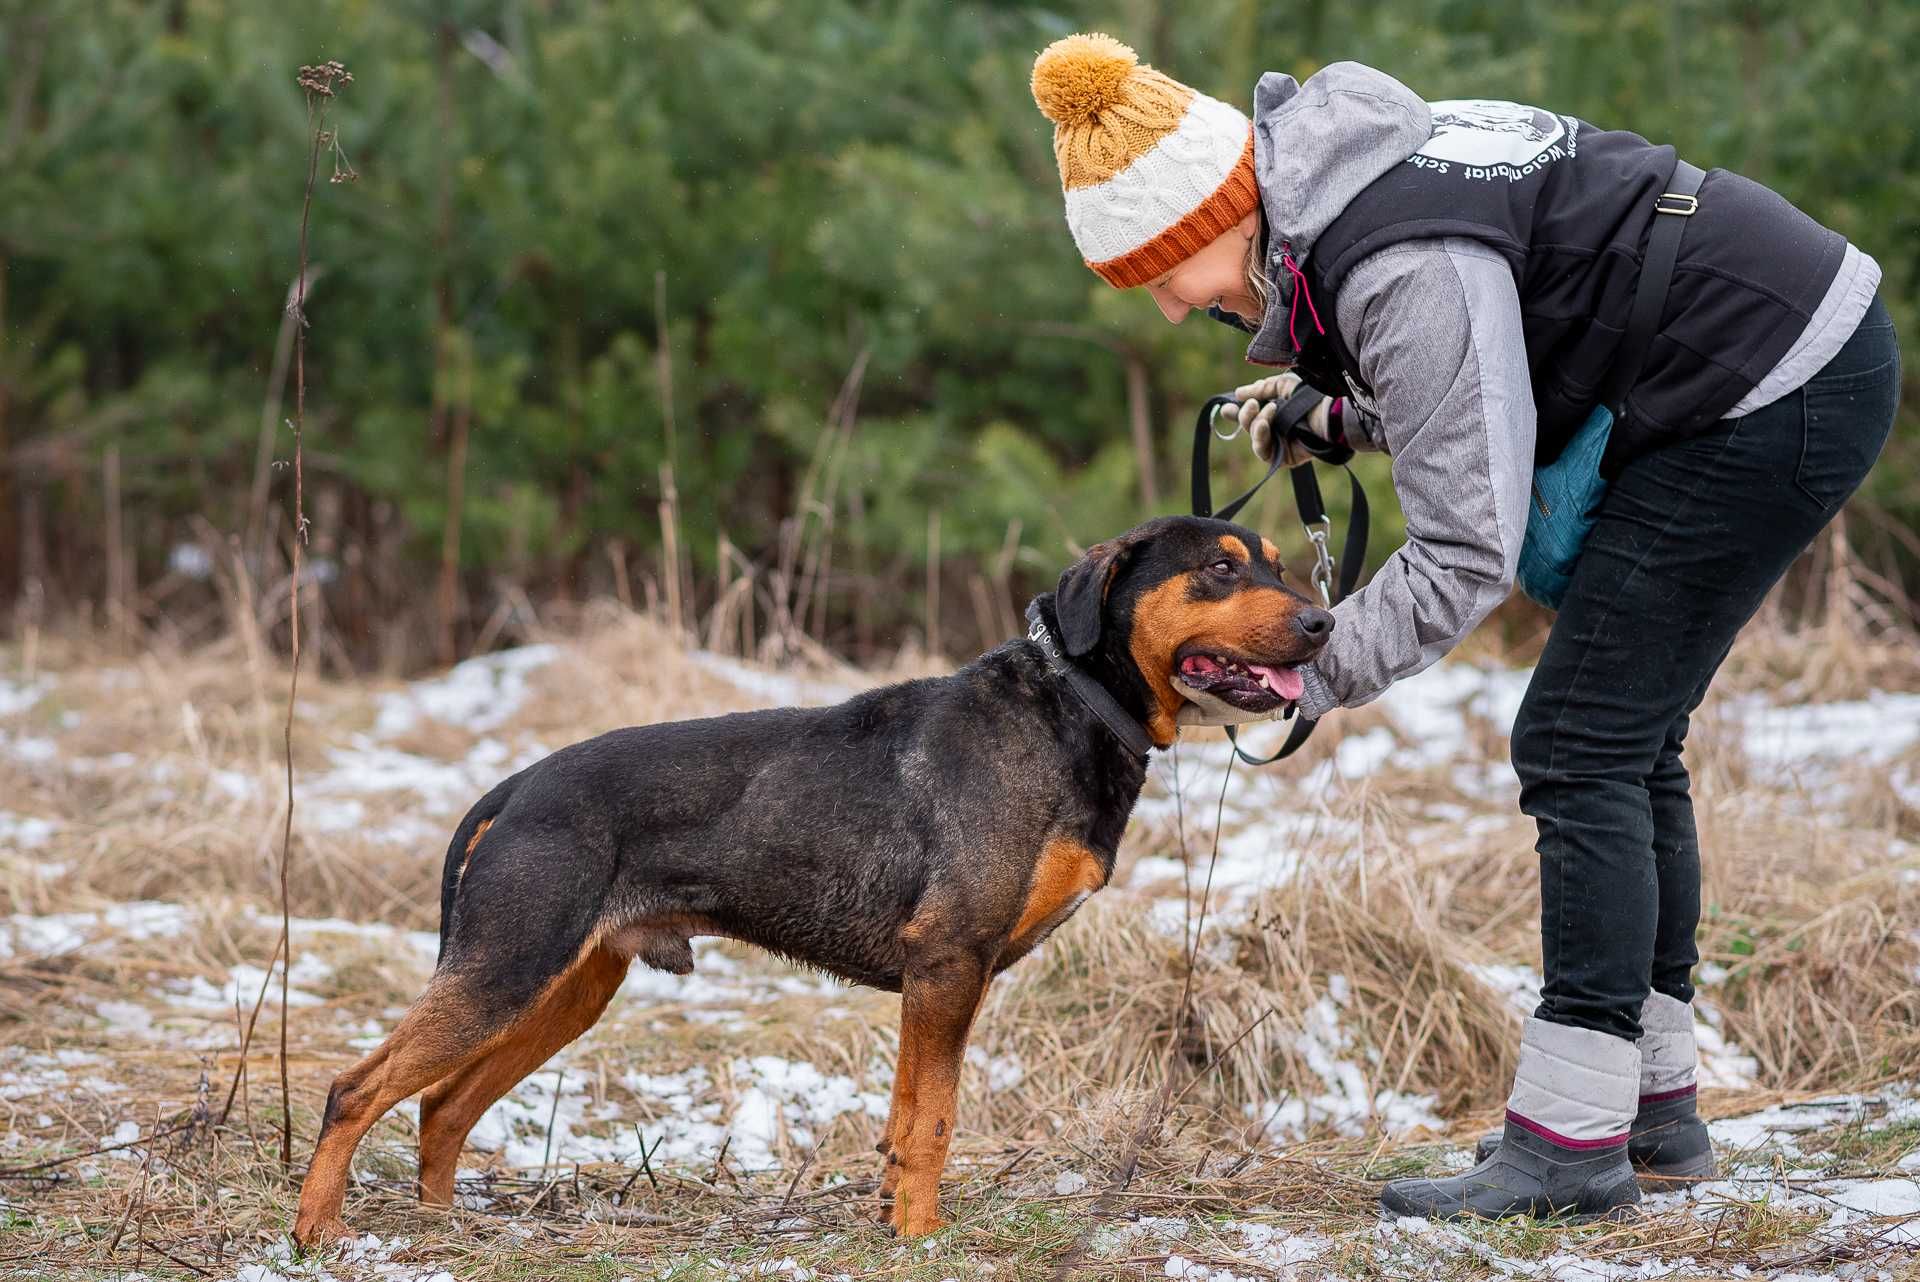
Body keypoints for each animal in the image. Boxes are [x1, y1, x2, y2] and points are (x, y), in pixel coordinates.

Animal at [291, 514, 1328, 1243]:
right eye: (1222, 568)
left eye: (1279, 564)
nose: (1323, 621)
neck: (1069, 702)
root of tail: (517, 787)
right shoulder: (948, 966)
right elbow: (935, 1122)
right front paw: (922, 1239)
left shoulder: (936, 984)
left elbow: (907, 1121)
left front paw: (895, 1223)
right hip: (507, 969)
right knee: (356, 1089)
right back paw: (318, 1230)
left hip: (567, 990)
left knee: (441, 1106)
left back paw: (440, 1227)